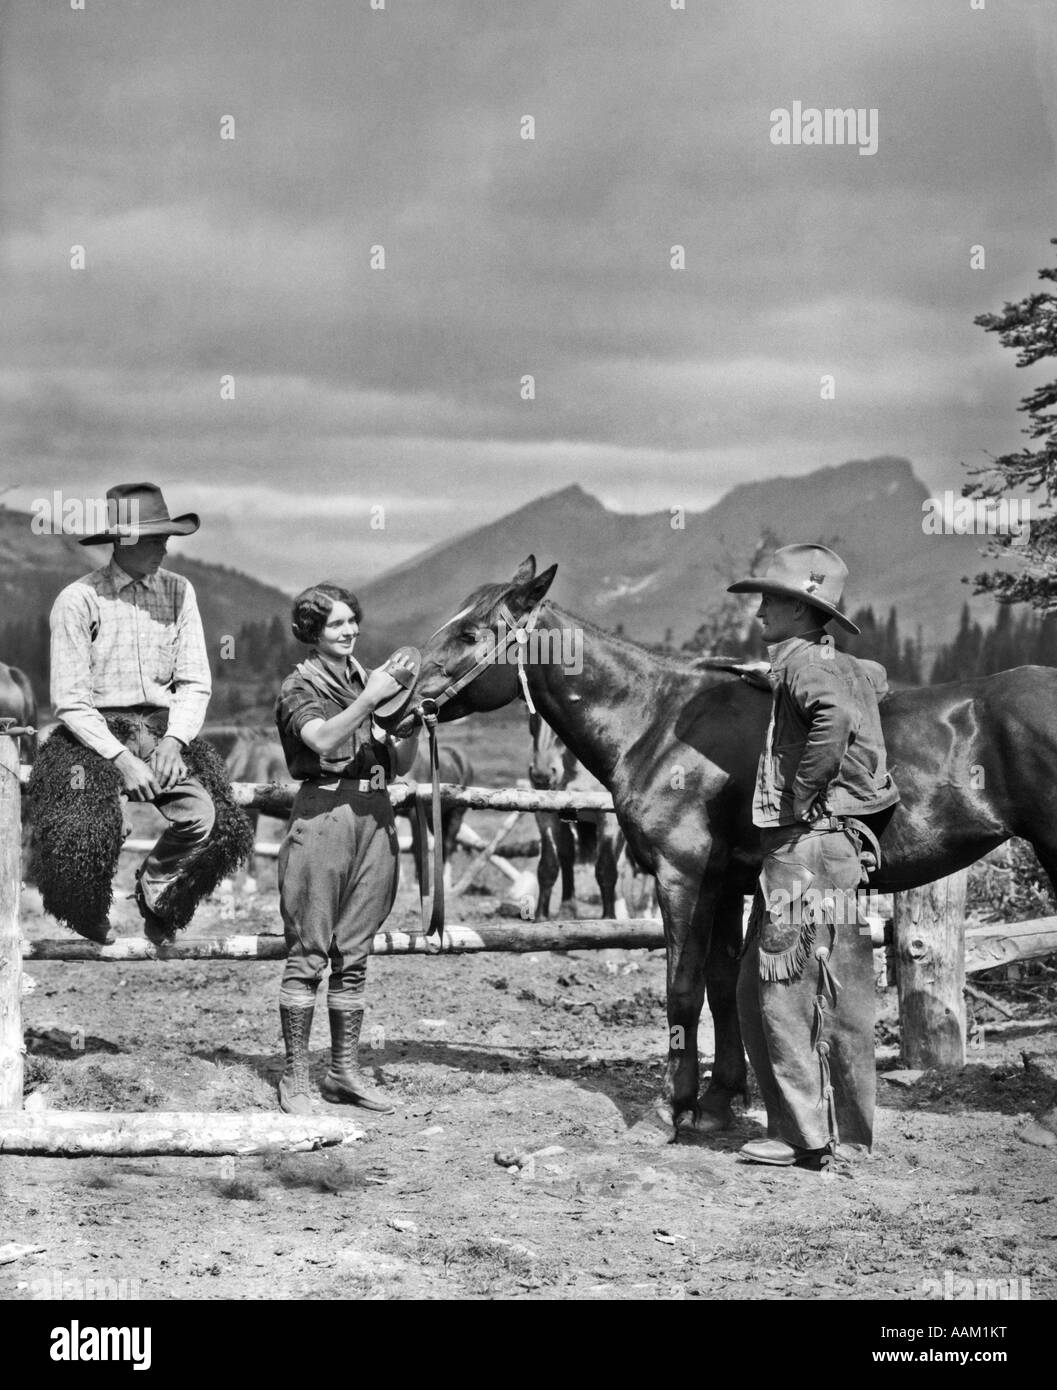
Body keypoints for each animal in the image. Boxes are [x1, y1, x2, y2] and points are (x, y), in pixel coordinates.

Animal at [403, 558, 1057, 1134]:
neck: (656, 724)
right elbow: (721, 989)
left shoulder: (682, 878)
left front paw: (671, 1109)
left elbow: (682, 990)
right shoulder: (724, 885)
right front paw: (719, 1103)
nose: (402, 703)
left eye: (469, 632)